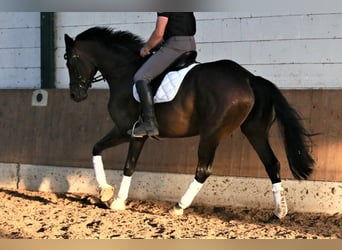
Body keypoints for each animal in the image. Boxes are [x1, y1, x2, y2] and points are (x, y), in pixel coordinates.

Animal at [65, 26, 316, 218]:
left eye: (70, 63)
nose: (76, 95)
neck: (124, 72)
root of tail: (249, 78)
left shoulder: (129, 131)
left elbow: (122, 162)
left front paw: (114, 199)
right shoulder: (129, 132)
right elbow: (101, 151)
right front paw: (108, 193)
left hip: (211, 134)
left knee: (203, 170)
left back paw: (178, 207)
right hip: (254, 131)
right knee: (272, 163)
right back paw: (279, 212)